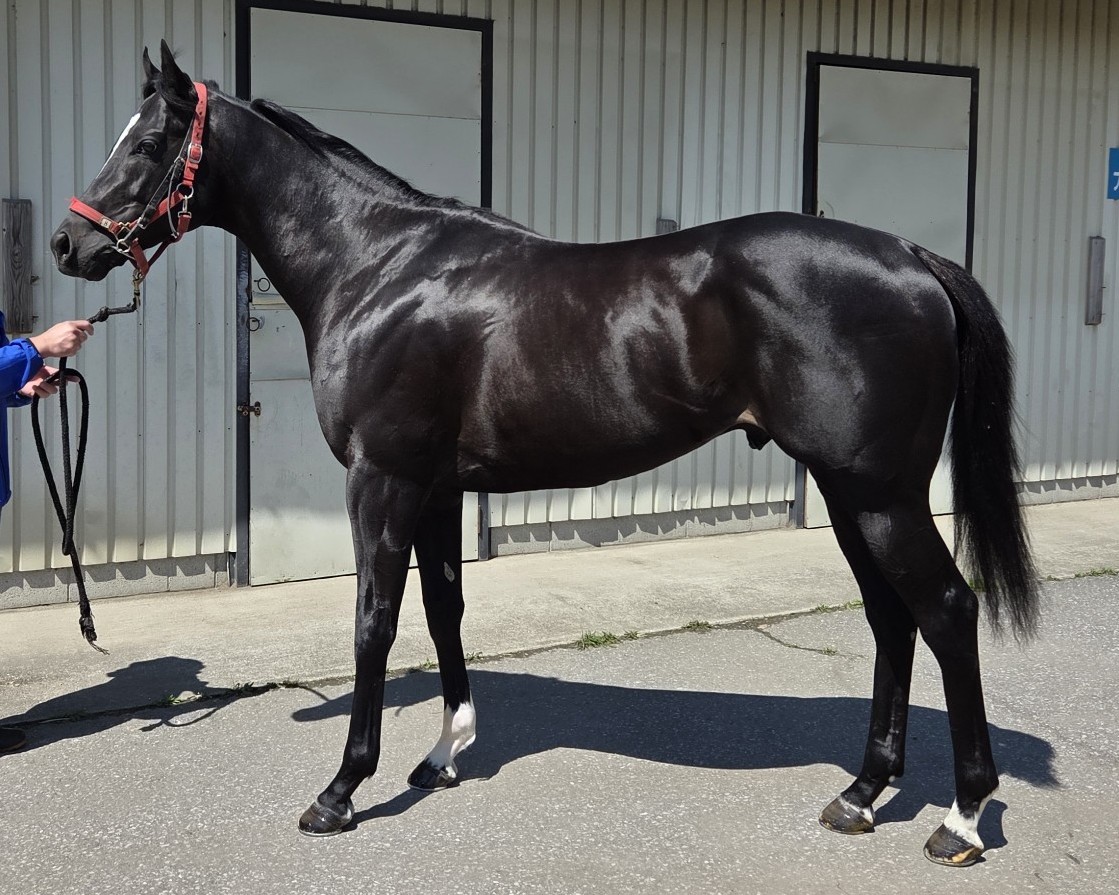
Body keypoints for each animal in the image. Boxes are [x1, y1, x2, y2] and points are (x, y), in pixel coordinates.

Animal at [51, 43, 1038, 866]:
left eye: (149, 143)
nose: (70, 243)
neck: (379, 269)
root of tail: (910, 255)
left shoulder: (383, 480)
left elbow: (374, 620)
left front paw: (340, 789)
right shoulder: (438, 486)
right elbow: (444, 609)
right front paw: (444, 753)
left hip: (879, 495)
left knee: (946, 610)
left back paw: (958, 820)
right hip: (847, 492)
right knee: (890, 619)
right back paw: (861, 794)